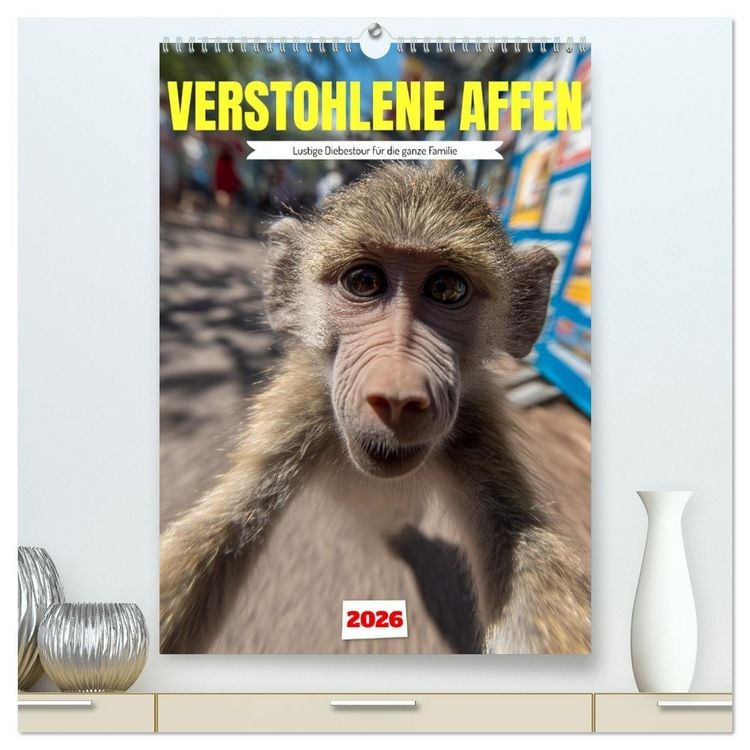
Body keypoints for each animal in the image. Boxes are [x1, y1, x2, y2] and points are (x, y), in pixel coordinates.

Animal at [160, 162, 591, 655]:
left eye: (447, 288)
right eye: (363, 282)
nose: (399, 395)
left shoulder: (475, 429)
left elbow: (520, 540)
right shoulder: (300, 409)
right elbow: (229, 520)